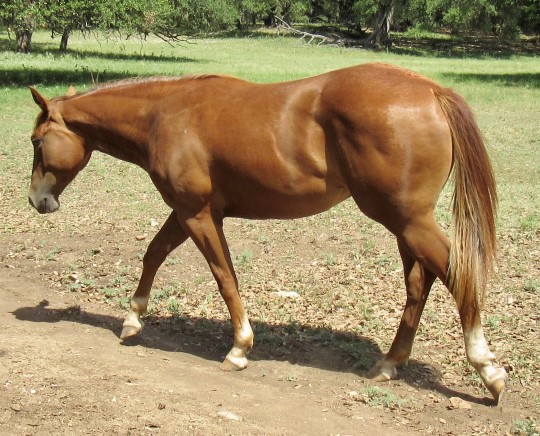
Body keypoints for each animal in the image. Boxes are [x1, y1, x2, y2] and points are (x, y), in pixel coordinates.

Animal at [28, 63, 506, 404]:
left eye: (36, 141)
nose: (37, 200)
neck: (165, 114)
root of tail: (429, 90)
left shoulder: (197, 215)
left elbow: (224, 278)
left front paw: (239, 348)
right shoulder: (188, 213)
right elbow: (154, 254)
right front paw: (132, 319)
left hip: (407, 221)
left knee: (455, 275)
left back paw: (487, 369)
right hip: (404, 225)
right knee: (418, 284)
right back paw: (389, 363)